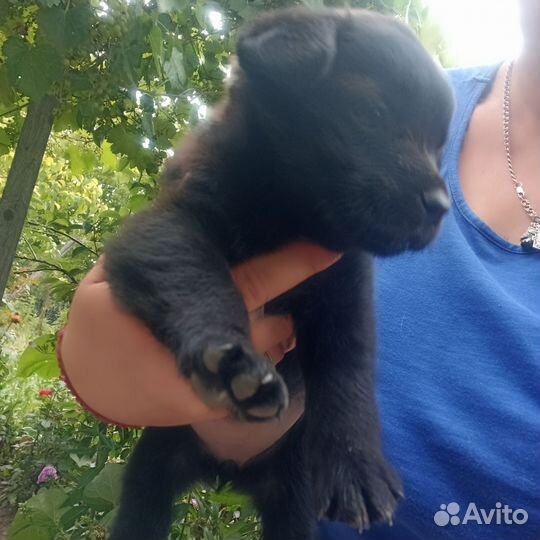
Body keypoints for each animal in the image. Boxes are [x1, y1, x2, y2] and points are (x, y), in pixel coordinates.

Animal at [107, 8, 454, 540]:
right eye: (373, 114)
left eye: (439, 148)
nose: (441, 207)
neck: (287, 214)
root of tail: (226, 474)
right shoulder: (168, 224)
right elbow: (199, 280)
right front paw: (230, 361)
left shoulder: (346, 287)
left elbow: (347, 366)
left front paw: (356, 465)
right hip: (154, 466)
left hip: (291, 497)